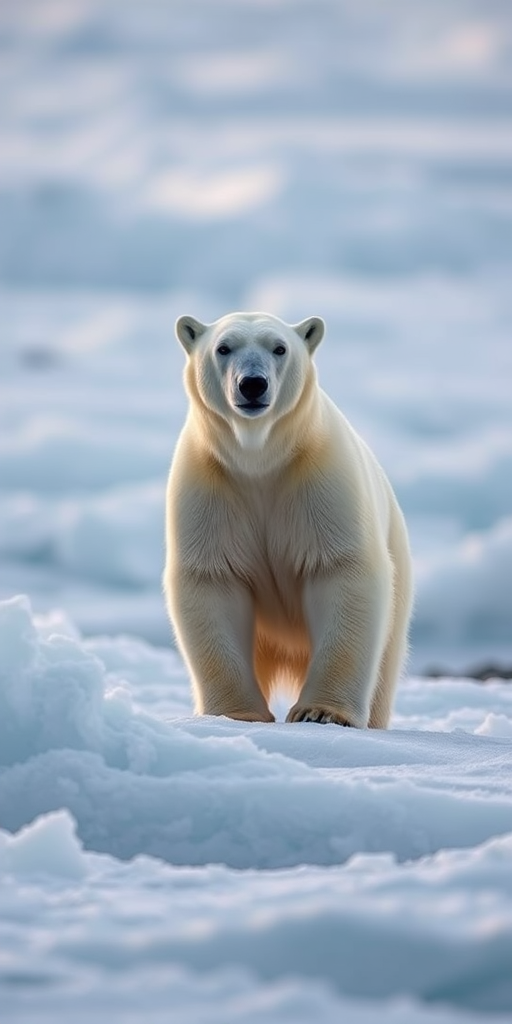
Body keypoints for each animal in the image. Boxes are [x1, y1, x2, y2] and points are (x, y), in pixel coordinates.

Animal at [164, 311, 413, 728]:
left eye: (279, 347)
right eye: (223, 347)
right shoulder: (210, 487)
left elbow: (341, 569)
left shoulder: (317, 480)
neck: (259, 461)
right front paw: (238, 714)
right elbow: (213, 579)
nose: (252, 383)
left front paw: (322, 712)